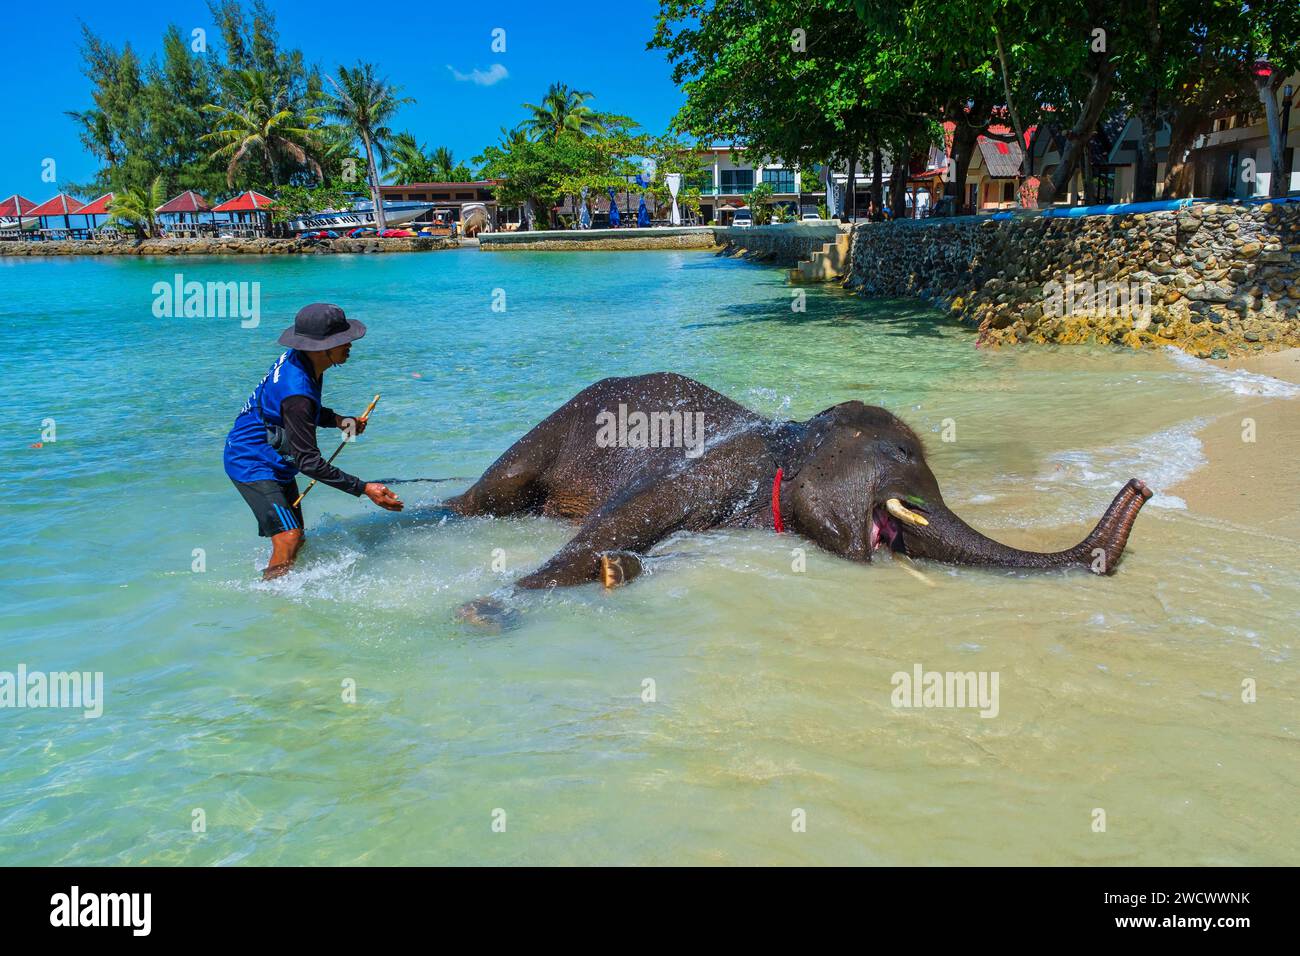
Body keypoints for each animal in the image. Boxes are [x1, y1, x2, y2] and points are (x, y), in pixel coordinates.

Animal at [444, 374, 1149, 606]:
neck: (792, 439)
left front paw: (619, 571)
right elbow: (615, 523)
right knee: (483, 498)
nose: (1143, 486)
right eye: (904, 454)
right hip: (547, 435)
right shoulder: (716, 468)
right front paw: (489, 608)